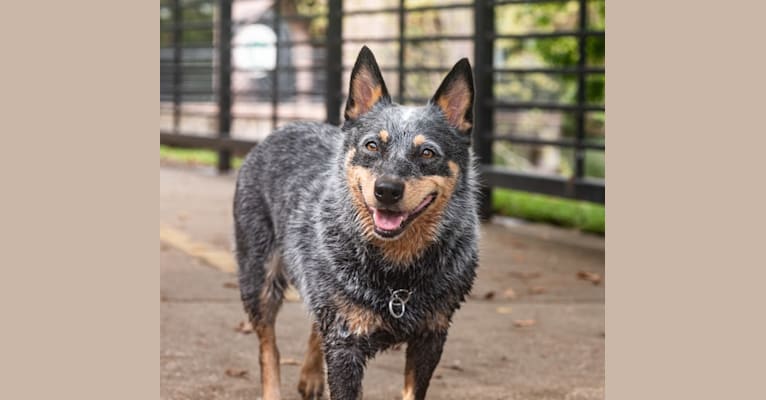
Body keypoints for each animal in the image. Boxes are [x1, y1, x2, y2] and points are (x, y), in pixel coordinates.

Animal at [234, 45, 480, 398]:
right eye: (372, 145)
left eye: (427, 153)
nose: (387, 190)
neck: (397, 277)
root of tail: (285, 126)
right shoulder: (346, 344)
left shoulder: (431, 335)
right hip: (258, 277)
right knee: (269, 347)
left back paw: (311, 376)